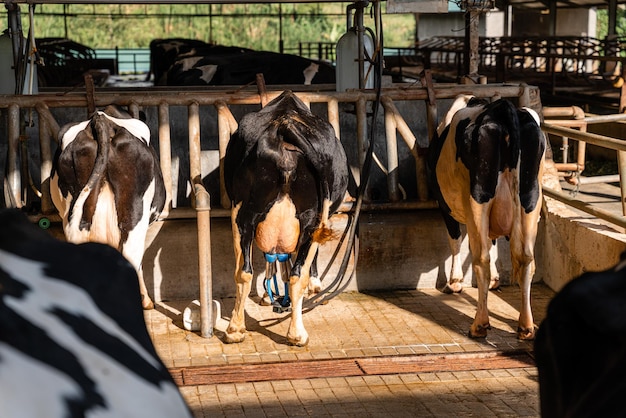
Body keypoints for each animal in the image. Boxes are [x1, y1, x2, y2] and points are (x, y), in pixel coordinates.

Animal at [222, 90, 348, 344]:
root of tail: (285, 126)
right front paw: (314, 284)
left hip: (243, 214)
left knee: (244, 271)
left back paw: (236, 330)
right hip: (309, 218)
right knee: (296, 274)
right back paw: (296, 333)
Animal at [426, 94, 544, 340]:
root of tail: (502, 108)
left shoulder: (445, 206)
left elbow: (455, 240)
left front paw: (454, 282)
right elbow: (493, 242)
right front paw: (497, 280)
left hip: (478, 198)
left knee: (481, 258)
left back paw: (479, 324)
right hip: (531, 199)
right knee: (526, 259)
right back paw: (526, 327)